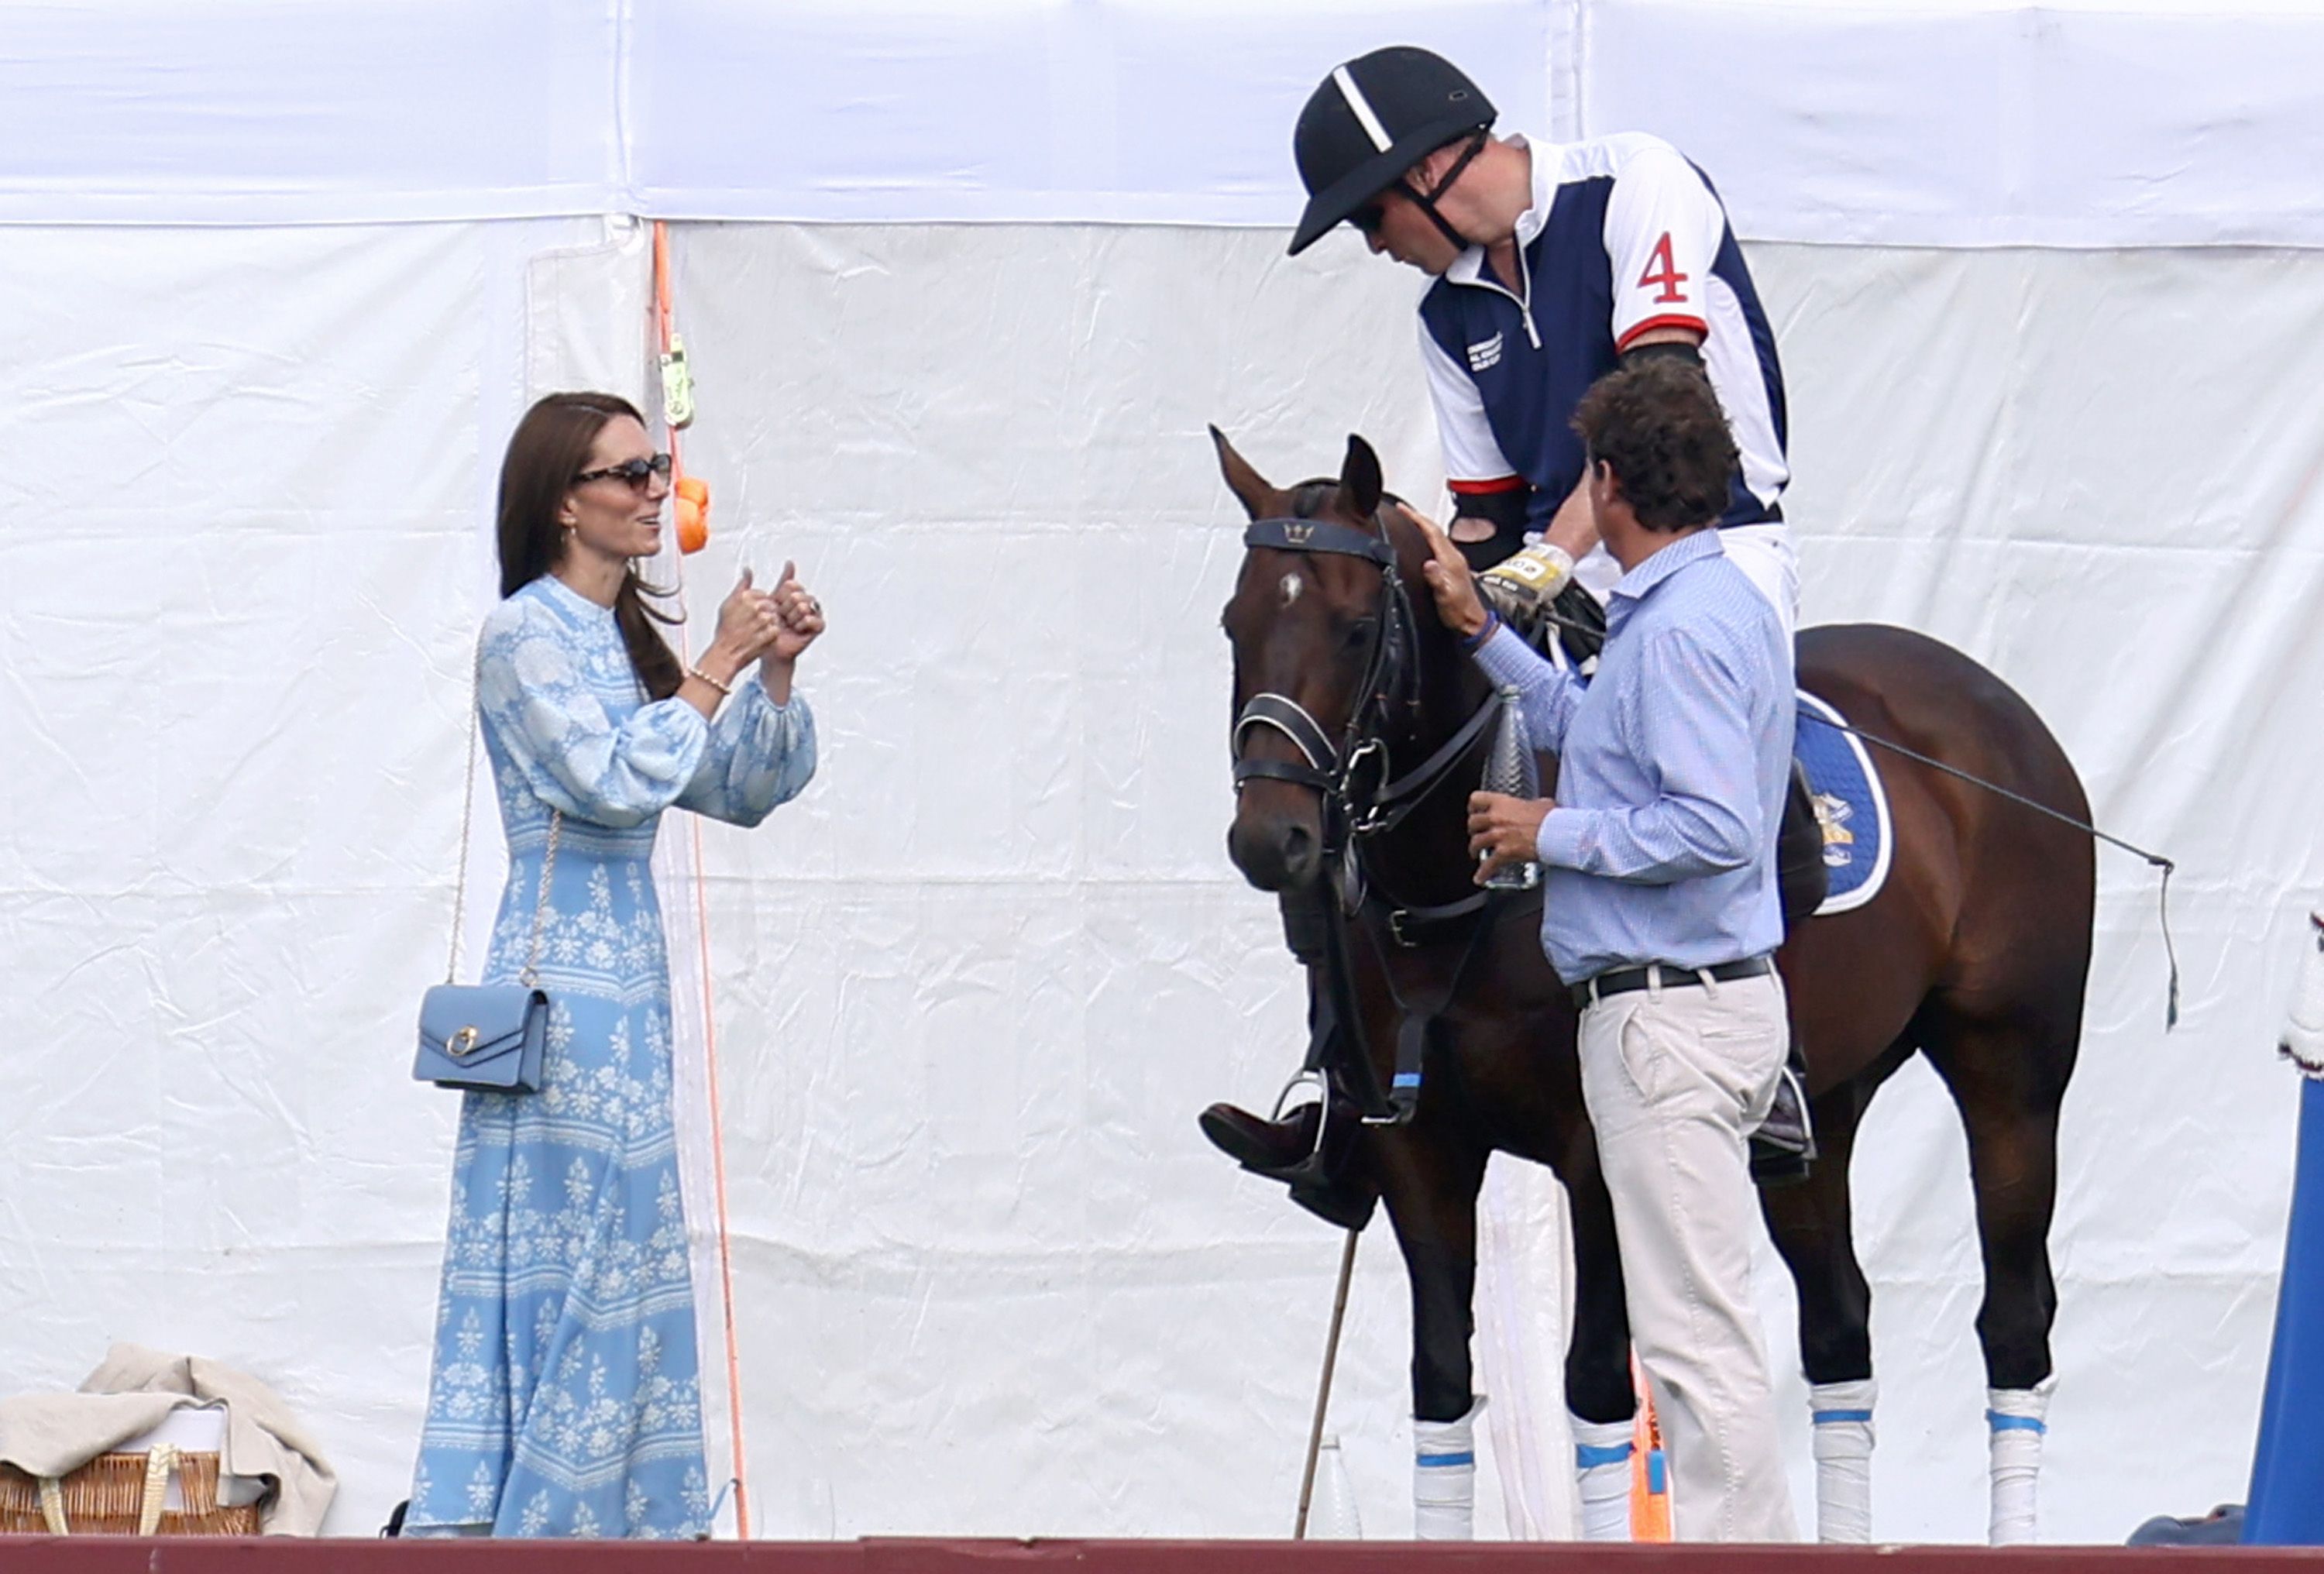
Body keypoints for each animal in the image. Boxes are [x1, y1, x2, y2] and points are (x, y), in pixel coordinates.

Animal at [1208, 428, 2101, 1534]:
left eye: (1357, 625)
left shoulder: (1596, 1146)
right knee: (1839, 1328)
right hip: (1825, 1106)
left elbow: (1594, 1386)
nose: (1271, 839)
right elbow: (1442, 1385)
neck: (1450, 884)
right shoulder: (1419, 1149)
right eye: (1235, 623)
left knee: (2015, 1322)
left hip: (2012, 1072)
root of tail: (2001, 708)